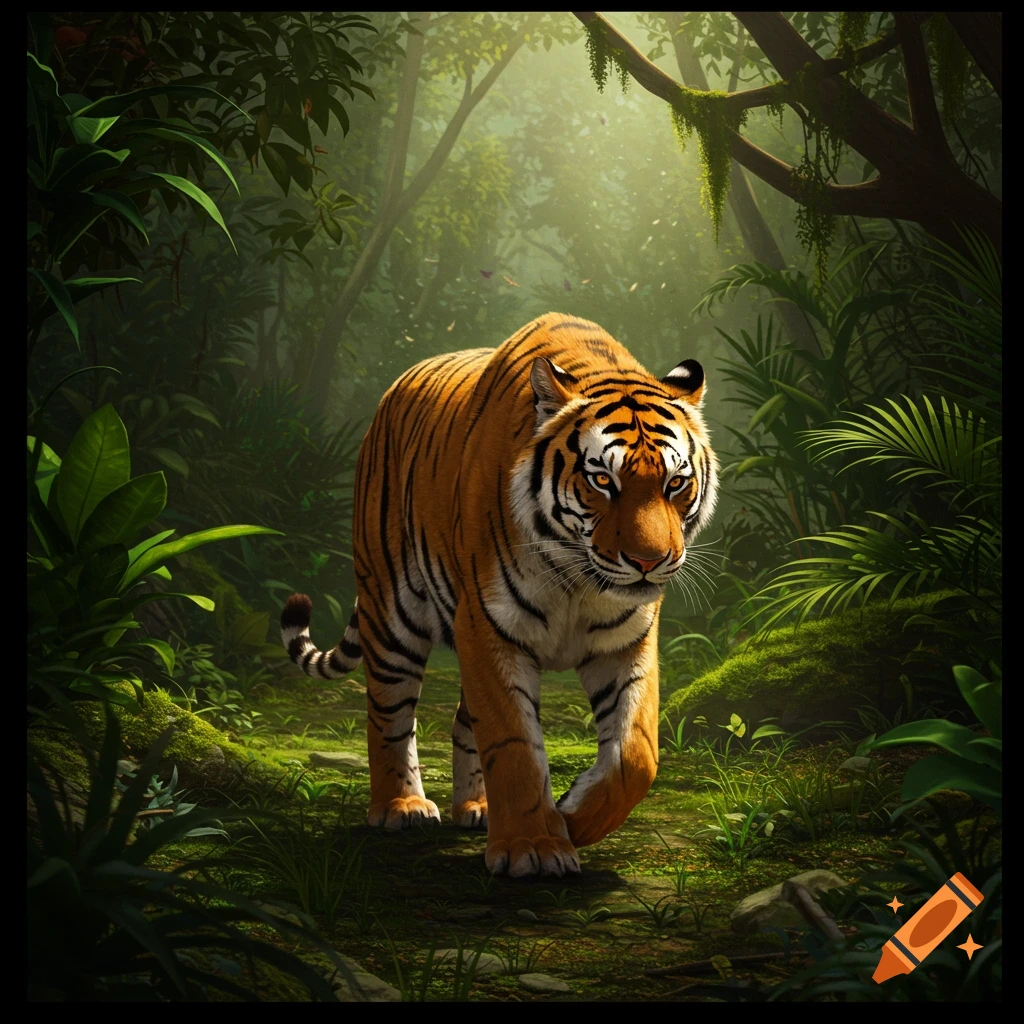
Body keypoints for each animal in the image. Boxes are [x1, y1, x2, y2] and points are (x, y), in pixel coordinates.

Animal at [280, 313, 718, 877]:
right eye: (603, 480)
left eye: (675, 483)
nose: (649, 562)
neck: (577, 578)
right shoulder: (489, 628)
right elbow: (513, 744)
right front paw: (535, 846)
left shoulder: (626, 642)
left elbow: (636, 752)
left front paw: (574, 818)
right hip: (391, 611)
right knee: (388, 713)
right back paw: (400, 806)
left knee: (463, 720)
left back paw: (478, 807)